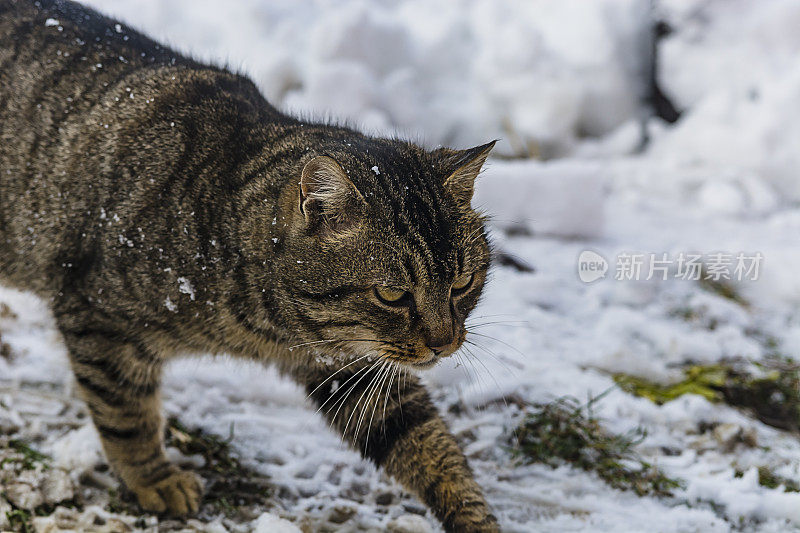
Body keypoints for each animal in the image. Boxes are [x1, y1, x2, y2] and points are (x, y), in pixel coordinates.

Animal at [0, 2, 500, 528]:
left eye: (463, 284)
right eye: (392, 294)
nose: (445, 343)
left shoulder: (347, 367)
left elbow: (427, 444)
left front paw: (475, 518)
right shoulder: (98, 320)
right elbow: (126, 416)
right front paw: (154, 479)